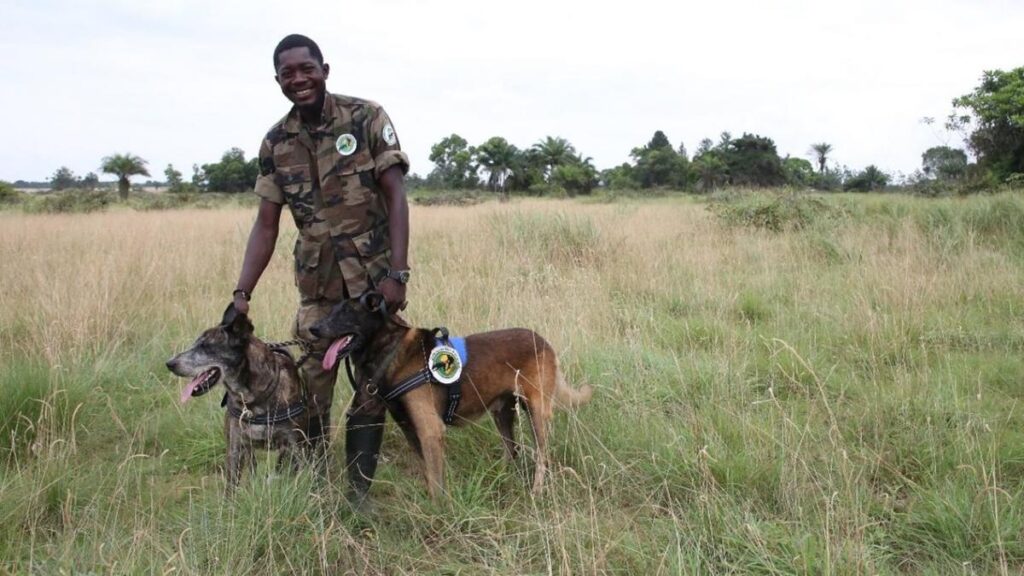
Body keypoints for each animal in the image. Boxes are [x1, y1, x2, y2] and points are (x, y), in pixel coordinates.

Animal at [165, 303, 311, 491]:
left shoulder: (296, 446)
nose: (169, 363)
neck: (253, 399)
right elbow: (230, 489)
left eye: (205, 347)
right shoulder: (235, 448)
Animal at [307, 293, 593, 496]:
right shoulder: (411, 429)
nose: (313, 329)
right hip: (503, 412)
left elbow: (436, 482)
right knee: (512, 449)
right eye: (332, 310)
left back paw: (536, 491)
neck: (392, 349)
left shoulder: (430, 430)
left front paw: (439, 511)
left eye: (347, 312)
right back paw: (500, 478)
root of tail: (543, 341)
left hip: (536, 413)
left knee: (542, 455)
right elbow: (429, 474)